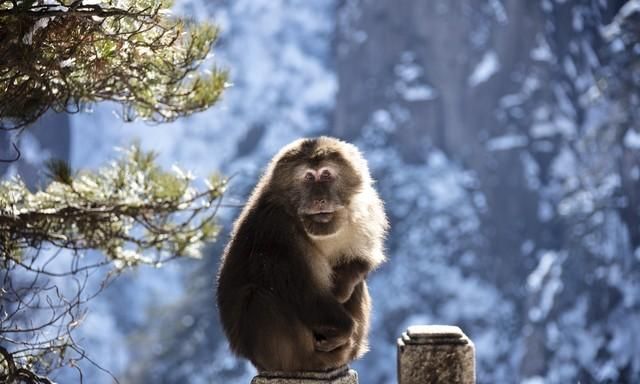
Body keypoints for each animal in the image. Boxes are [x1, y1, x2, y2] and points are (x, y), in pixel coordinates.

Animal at [215, 136, 388, 372]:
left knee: (358, 284)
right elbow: (304, 291)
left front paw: (342, 285)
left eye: (326, 174)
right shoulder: (277, 229)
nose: (319, 199)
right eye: (308, 177)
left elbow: (361, 260)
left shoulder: (366, 209)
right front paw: (344, 329)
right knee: (259, 297)